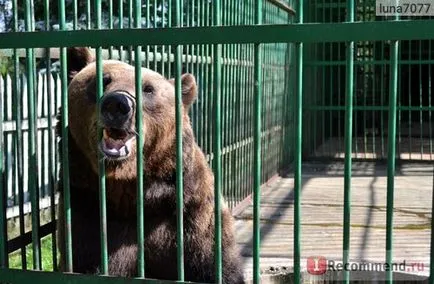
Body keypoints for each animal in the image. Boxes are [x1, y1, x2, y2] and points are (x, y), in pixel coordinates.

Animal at [57, 47, 246, 282]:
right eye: (102, 79)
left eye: (148, 89)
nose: (117, 104)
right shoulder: (85, 207)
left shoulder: (192, 215)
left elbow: (215, 266)